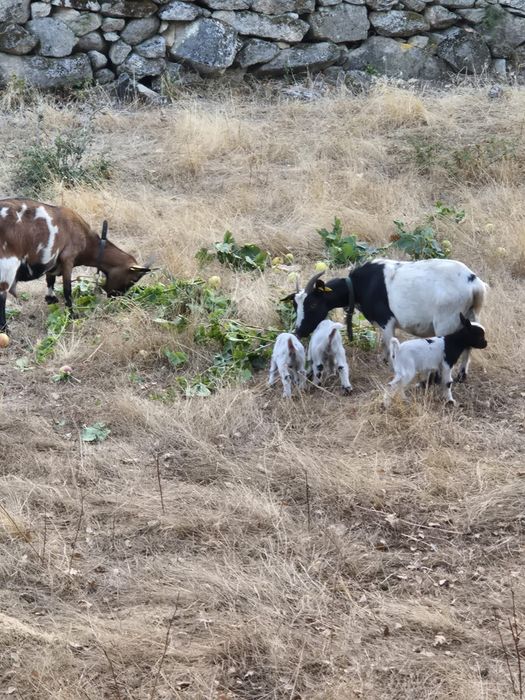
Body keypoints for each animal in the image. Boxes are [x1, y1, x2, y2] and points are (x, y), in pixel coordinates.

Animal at [0, 198, 151, 332]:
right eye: (133, 279)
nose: (115, 297)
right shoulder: (68, 258)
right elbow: (67, 290)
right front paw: (73, 315)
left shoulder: (54, 261)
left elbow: (50, 280)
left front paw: (51, 299)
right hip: (7, 266)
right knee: (2, 295)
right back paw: (5, 329)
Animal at [282, 258, 488, 382]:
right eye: (295, 304)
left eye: (312, 304)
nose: (299, 331)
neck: (359, 286)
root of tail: (474, 285)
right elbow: (383, 344)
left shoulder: (386, 320)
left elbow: (389, 345)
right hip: (469, 317)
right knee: (469, 345)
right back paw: (462, 375)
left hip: (446, 321)